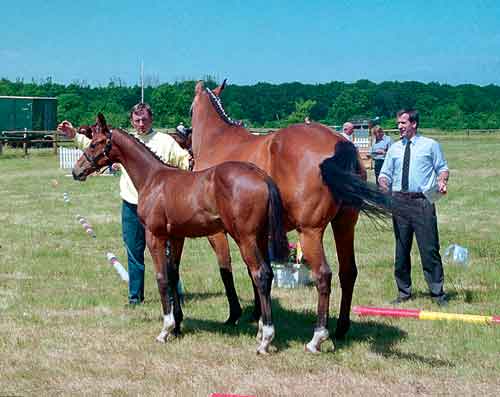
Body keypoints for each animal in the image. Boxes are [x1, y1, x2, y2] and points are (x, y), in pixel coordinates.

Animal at [72, 112, 288, 352]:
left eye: (94, 143)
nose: (76, 171)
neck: (153, 178)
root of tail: (262, 177)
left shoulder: (155, 236)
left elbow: (161, 277)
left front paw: (165, 330)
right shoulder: (176, 237)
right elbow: (173, 273)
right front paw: (177, 326)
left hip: (245, 238)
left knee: (260, 274)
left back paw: (266, 338)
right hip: (260, 238)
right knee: (267, 274)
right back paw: (260, 331)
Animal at [189, 80, 392, 352]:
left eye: (190, 109)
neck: (218, 140)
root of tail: (340, 142)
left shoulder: (219, 233)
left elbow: (228, 270)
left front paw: (235, 314)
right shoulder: (258, 233)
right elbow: (259, 271)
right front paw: (259, 316)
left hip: (310, 233)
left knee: (323, 276)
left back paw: (318, 336)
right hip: (344, 225)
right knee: (348, 272)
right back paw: (340, 329)